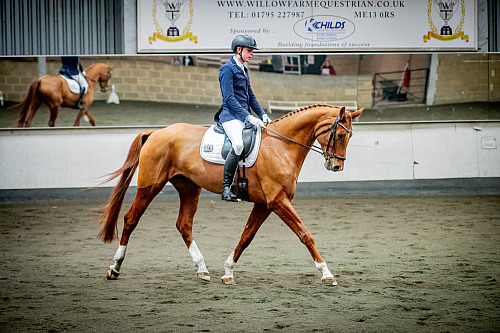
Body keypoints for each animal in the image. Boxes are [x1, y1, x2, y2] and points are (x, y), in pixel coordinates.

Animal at [98, 105, 364, 284]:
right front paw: (326, 273)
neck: (281, 146)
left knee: (184, 224)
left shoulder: (265, 204)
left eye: (350, 135)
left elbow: (246, 237)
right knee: (131, 219)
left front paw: (227, 272)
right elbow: (305, 235)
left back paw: (202, 269)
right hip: (150, 186)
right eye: (341, 134)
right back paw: (115, 267)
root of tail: (155, 133)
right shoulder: (278, 201)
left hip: (189, 188)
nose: (337, 166)